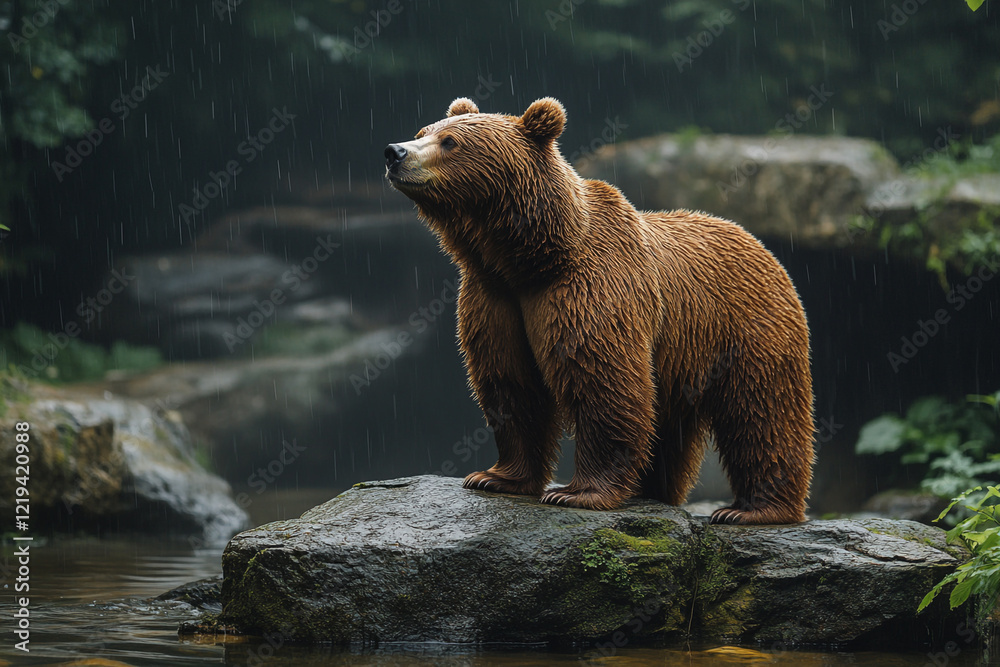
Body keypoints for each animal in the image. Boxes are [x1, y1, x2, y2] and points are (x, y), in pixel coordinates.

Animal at [384, 96, 814, 525]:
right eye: (423, 131)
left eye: (450, 142)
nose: (395, 152)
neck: (527, 259)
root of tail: (760, 245)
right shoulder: (493, 298)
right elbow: (511, 383)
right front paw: (494, 477)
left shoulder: (591, 290)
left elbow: (602, 382)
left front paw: (576, 492)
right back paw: (653, 491)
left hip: (745, 327)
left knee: (761, 410)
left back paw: (751, 509)